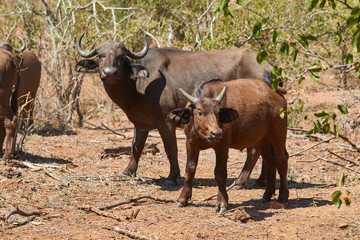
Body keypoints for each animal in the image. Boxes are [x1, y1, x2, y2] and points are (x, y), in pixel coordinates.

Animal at [75, 33, 272, 186]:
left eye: (121, 57)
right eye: (100, 56)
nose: (109, 73)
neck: (138, 86)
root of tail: (268, 68)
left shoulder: (166, 122)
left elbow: (171, 149)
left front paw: (172, 177)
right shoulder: (141, 125)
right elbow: (136, 147)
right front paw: (128, 172)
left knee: (255, 151)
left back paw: (240, 181)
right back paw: (261, 181)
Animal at [169, 78, 290, 212]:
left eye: (218, 112)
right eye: (200, 112)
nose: (216, 133)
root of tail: (277, 95)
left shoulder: (222, 146)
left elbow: (220, 174)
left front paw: (222, 203)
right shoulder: (190, 144)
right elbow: (189, 170)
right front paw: (182, 199)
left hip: (278, 134)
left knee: (282, 159)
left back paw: (283, 197)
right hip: (263, 138)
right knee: (269, 160)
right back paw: (267, 195)